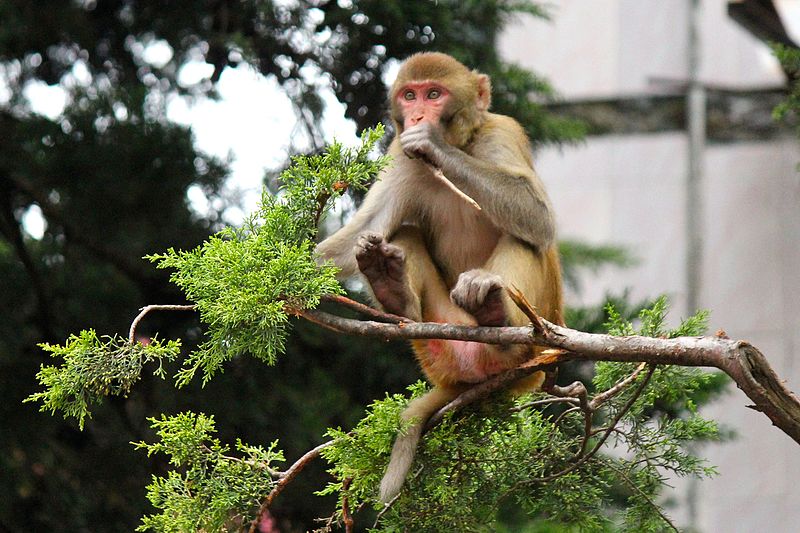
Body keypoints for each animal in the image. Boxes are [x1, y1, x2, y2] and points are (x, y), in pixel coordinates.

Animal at [314, 53, 564, 502]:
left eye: (434, 94)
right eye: (409, 95)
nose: (416, 116)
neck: (463, 145)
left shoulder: (502, 131)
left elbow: (536, 216)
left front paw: (432, 141)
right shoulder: (399, 155)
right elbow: (362, 233)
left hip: (535, 343)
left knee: (527, 239)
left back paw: (496, 314)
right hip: (439, 339)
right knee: (402, 234)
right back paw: (392, 289)